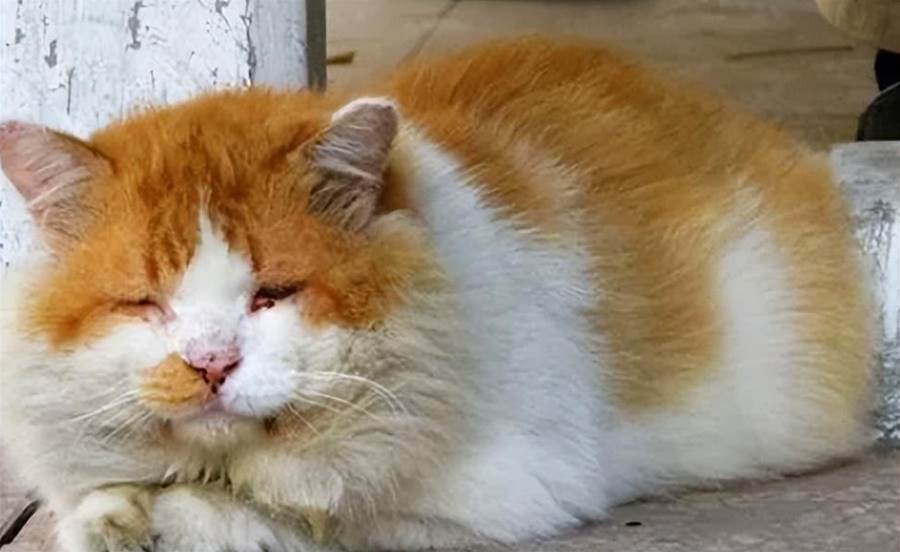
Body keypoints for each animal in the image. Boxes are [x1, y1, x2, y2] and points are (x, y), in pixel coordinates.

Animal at [0, 36, 874, 552]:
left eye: (273, 295)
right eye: (145, 304)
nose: (210, 365)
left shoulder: (496, 492)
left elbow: (290, 512)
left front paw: (160, 520)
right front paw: (113, 517)